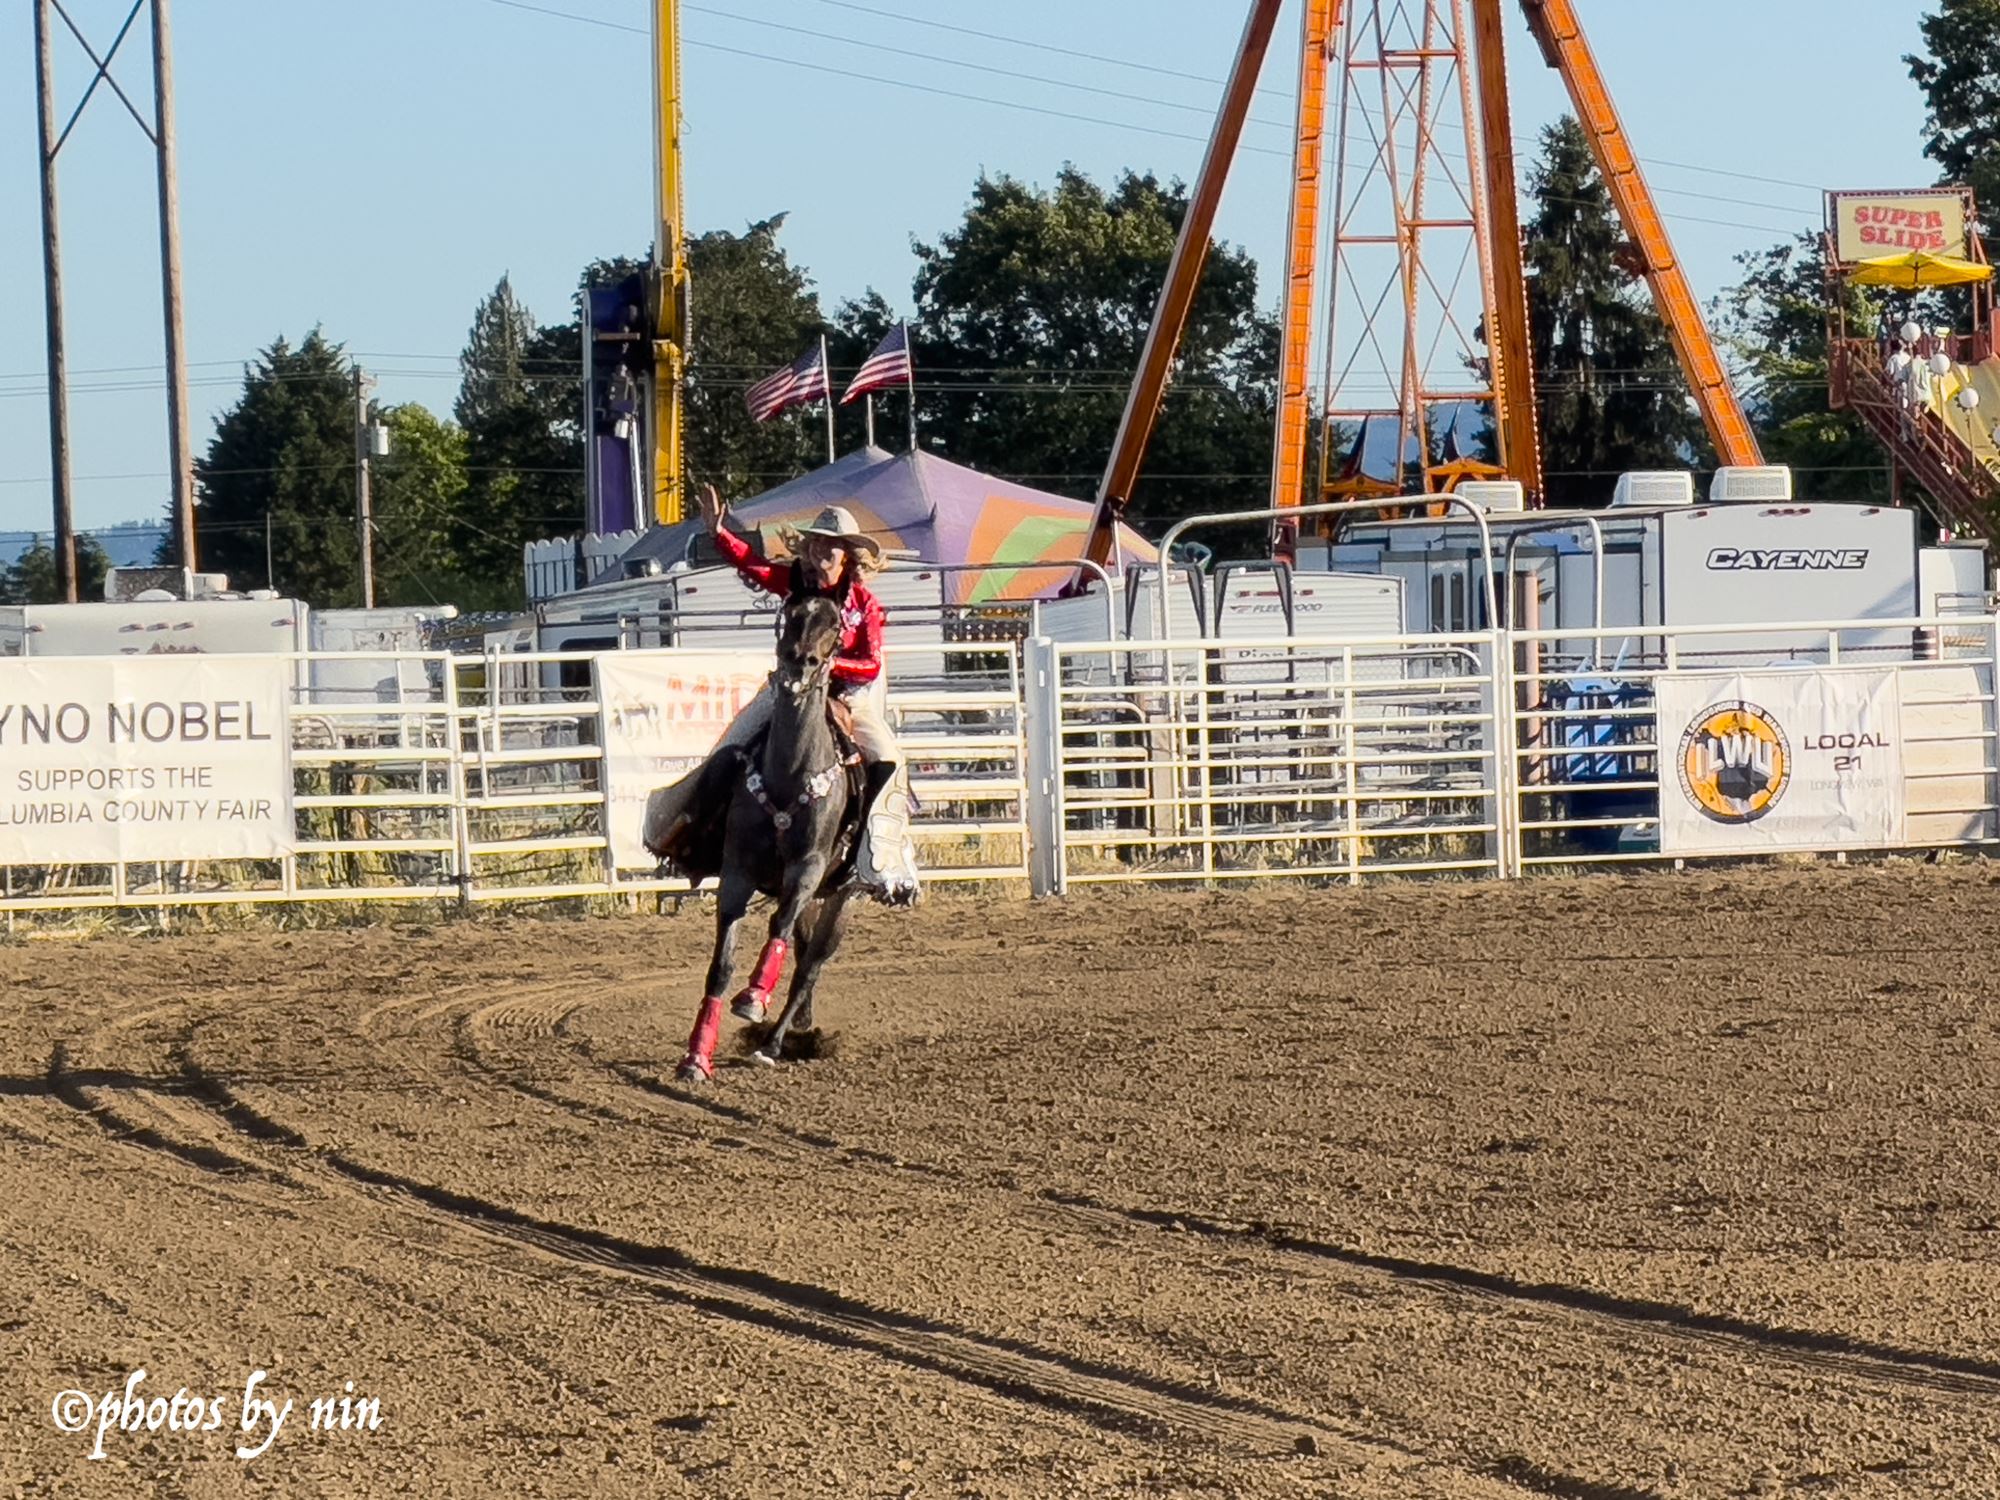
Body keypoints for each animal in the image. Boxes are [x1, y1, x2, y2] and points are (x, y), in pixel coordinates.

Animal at [680, 592, 860, 1088]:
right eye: (792, 614)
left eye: (835, 623)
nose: (801, 660)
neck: (790, 772)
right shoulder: (738, 872)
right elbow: (720, 967)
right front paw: (696, 1057)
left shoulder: (807, 870)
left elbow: (777, 929)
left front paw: (753, 998)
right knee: (801, 952)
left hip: (842, 894)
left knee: (811, 962)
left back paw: (774, 1042)